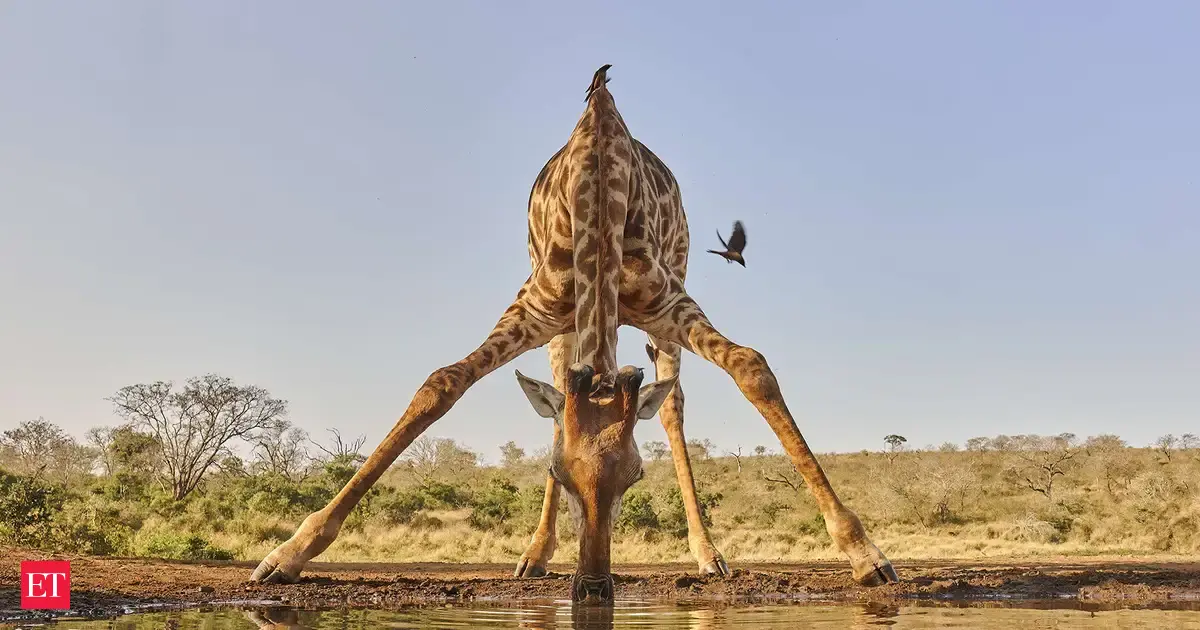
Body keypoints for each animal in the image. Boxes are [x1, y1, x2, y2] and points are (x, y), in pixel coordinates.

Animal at [249, 65, 899, 599]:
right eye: (561, 473)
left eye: (635, 476)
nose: (592, 586)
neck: (598, 188)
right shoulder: (534, 308)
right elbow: (442, 383)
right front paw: (288, 554)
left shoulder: (667, 299)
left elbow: (751, 366)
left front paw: (865, 552)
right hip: (562, 331)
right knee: (559, 394)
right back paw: (534, 557)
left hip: (668, 298)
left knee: (672, 406)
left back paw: (708, 555)